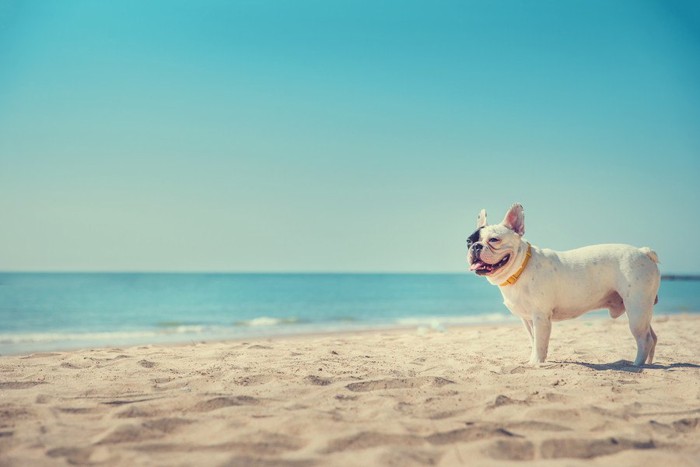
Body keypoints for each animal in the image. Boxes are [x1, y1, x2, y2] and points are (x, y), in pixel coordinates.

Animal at [468, 203, 660, 368]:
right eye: (468, 241)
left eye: (494, 240)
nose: (475, 246)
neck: (520, 269)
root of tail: (643, 252)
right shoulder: (528, 320)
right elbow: (534, 341)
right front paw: (532, 361)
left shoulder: (541, 317)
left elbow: (540, 343)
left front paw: (536, 363)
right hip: (642, 311)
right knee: (652, 336)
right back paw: (649, 363)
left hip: (636, 309)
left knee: (644, 339)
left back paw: (637, 364)